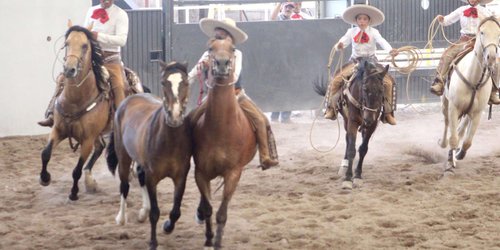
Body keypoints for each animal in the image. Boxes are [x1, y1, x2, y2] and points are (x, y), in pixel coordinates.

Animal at [105, 61, 191, 250]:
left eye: (186, 82)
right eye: (163, 82)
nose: (174, 116)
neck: (168, 139)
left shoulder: (181, 176)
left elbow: (176, 211)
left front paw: (167, 227)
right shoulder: (153, 177)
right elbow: (155, 212)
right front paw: (152, 242)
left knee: (140, 176)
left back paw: (142, 213)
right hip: (124, 157)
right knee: (124, 185)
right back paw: (121, 218)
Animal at [188, 38, 256, 249]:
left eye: (232, 49)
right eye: (210, 48)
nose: (222, 64)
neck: (221, 128)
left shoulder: (233, 173)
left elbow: (221, 212)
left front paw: (217, 241)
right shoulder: (201, 172)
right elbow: (208, 208)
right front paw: (209, 238)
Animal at [314, 59, 388, 189]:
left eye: (381, 90)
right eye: (365, 89)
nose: (368, 118)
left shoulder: (372, 125)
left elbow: (363, 149)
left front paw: (358, 176)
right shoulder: (352, 121)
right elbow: (351, 149)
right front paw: (348, 178)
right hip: (346, 120)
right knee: (347, 140)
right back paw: (344, 166)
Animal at [440, 16, 498, 173]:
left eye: (499, 34)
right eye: (482, 32)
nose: (491, 57)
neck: (474, 80)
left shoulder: (477, 113)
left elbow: (467, 141)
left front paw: (459, 154)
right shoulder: (454, 108)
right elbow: (453, 138)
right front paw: (449, 163)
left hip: (468, 112)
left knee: (461, 130)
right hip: (445, 103)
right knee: (447, 124)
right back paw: (442, 143)